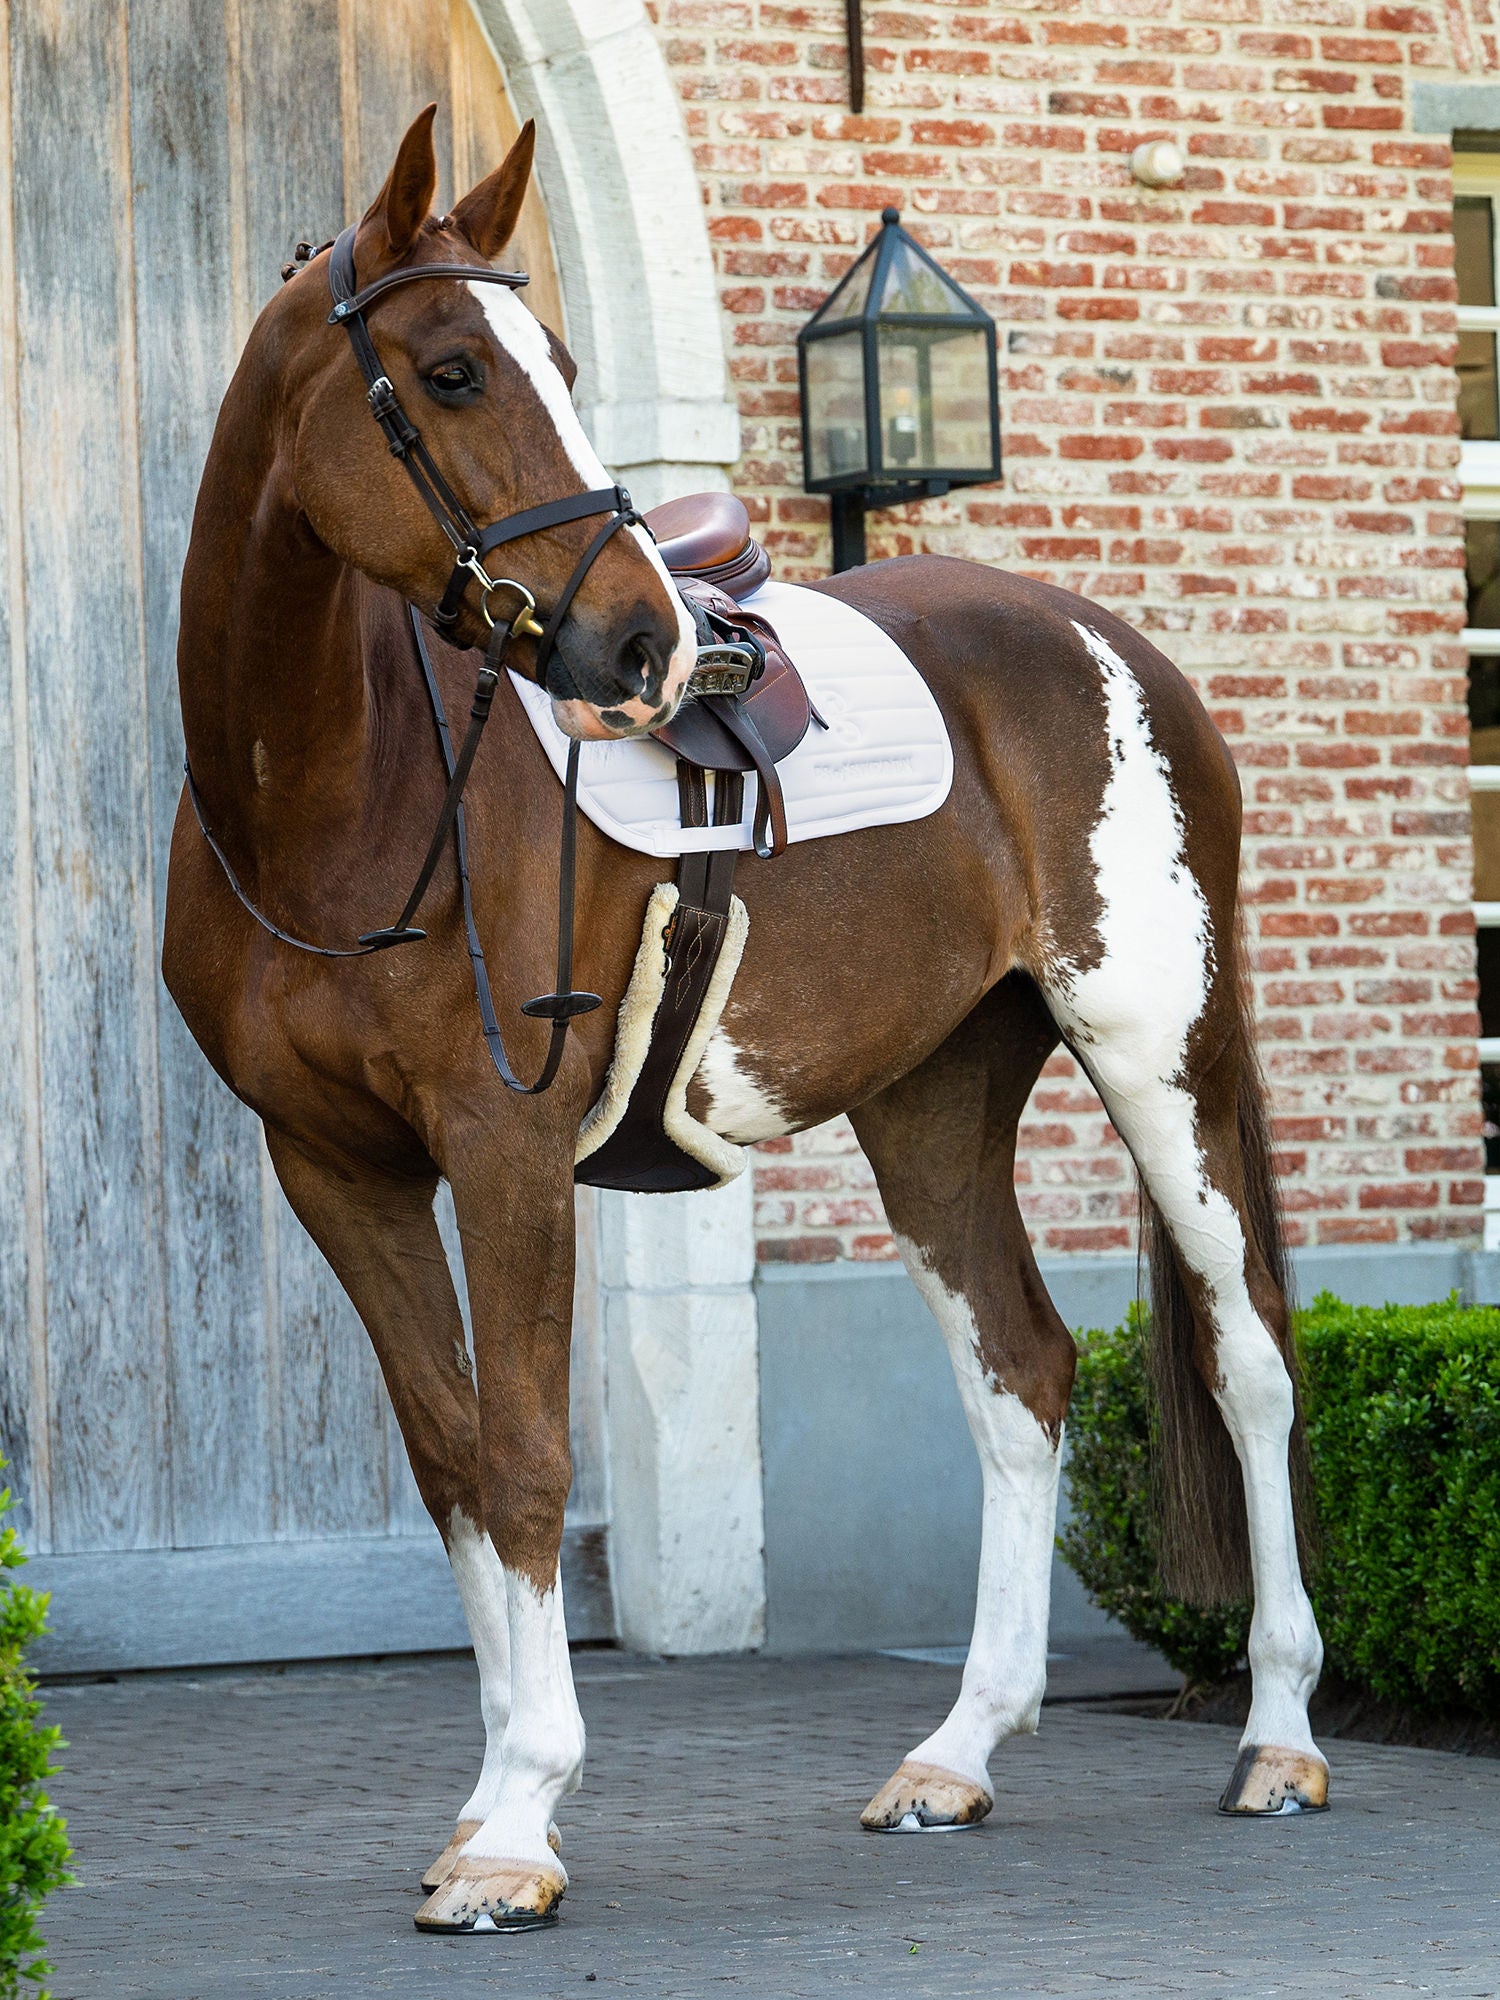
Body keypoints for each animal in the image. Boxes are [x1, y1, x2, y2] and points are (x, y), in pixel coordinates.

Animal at [167, 101, 1328, 1928]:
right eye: (447, 372)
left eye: (561, 363)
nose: (647, 642)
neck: (339, 791)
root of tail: (1111, 647)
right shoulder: (333, 1166)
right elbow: (449, 1463)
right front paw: (484, 1806)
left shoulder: (503, 1148)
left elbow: (522, 1460)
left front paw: (519, 1825)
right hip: (931, 1103)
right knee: (1024, 1371)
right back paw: (955, 1757)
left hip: (1164, 1067)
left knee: (1248, 1357)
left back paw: (1279, 1738)